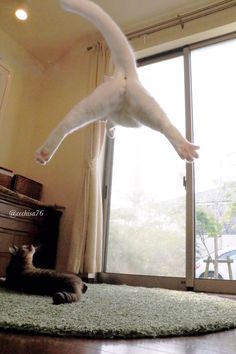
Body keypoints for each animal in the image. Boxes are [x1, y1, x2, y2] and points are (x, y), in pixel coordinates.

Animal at [35, 0, 199, 165]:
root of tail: (121, 76)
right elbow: (110, 124)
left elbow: (109, 124)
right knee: (165, 125)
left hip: (104, 105)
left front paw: (110, 130)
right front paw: (110, 130)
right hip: (138, 107)